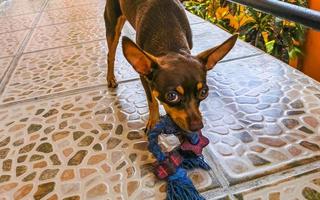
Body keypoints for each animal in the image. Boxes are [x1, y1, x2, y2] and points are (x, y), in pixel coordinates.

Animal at [105, 0, 238, 134]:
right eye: (172, 96)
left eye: (204, 92)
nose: (197, 127)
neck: (170, 42)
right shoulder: (144, 76)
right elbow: (152, 101)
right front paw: (154, 121)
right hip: (113, 27)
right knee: (110, 54)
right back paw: (110, 78)